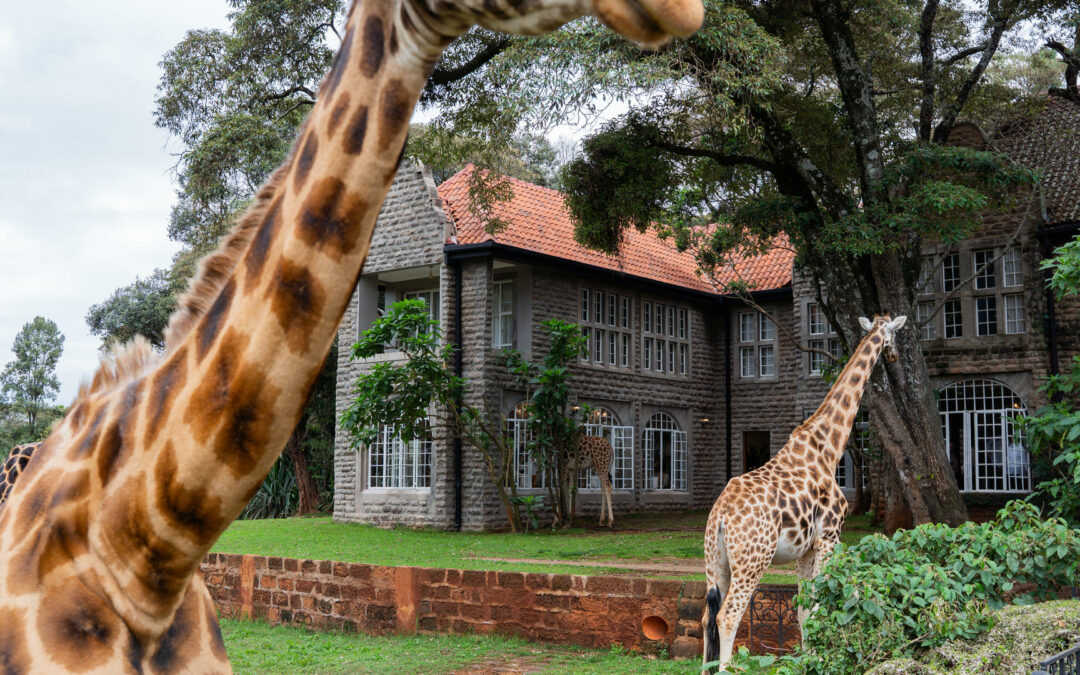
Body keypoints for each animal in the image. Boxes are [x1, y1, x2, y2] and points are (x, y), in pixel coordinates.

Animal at [701, 314, 907, 671]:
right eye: (894, 334)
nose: (894, 356)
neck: (827, 447)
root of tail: (721, 518)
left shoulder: (806, 550)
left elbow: (803, 609)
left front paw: (810, 659)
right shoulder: (830, 538)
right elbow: (822, 604)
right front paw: (822, 659)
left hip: (715, 563)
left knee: (706, 618)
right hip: (752, 561)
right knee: (728, 616)